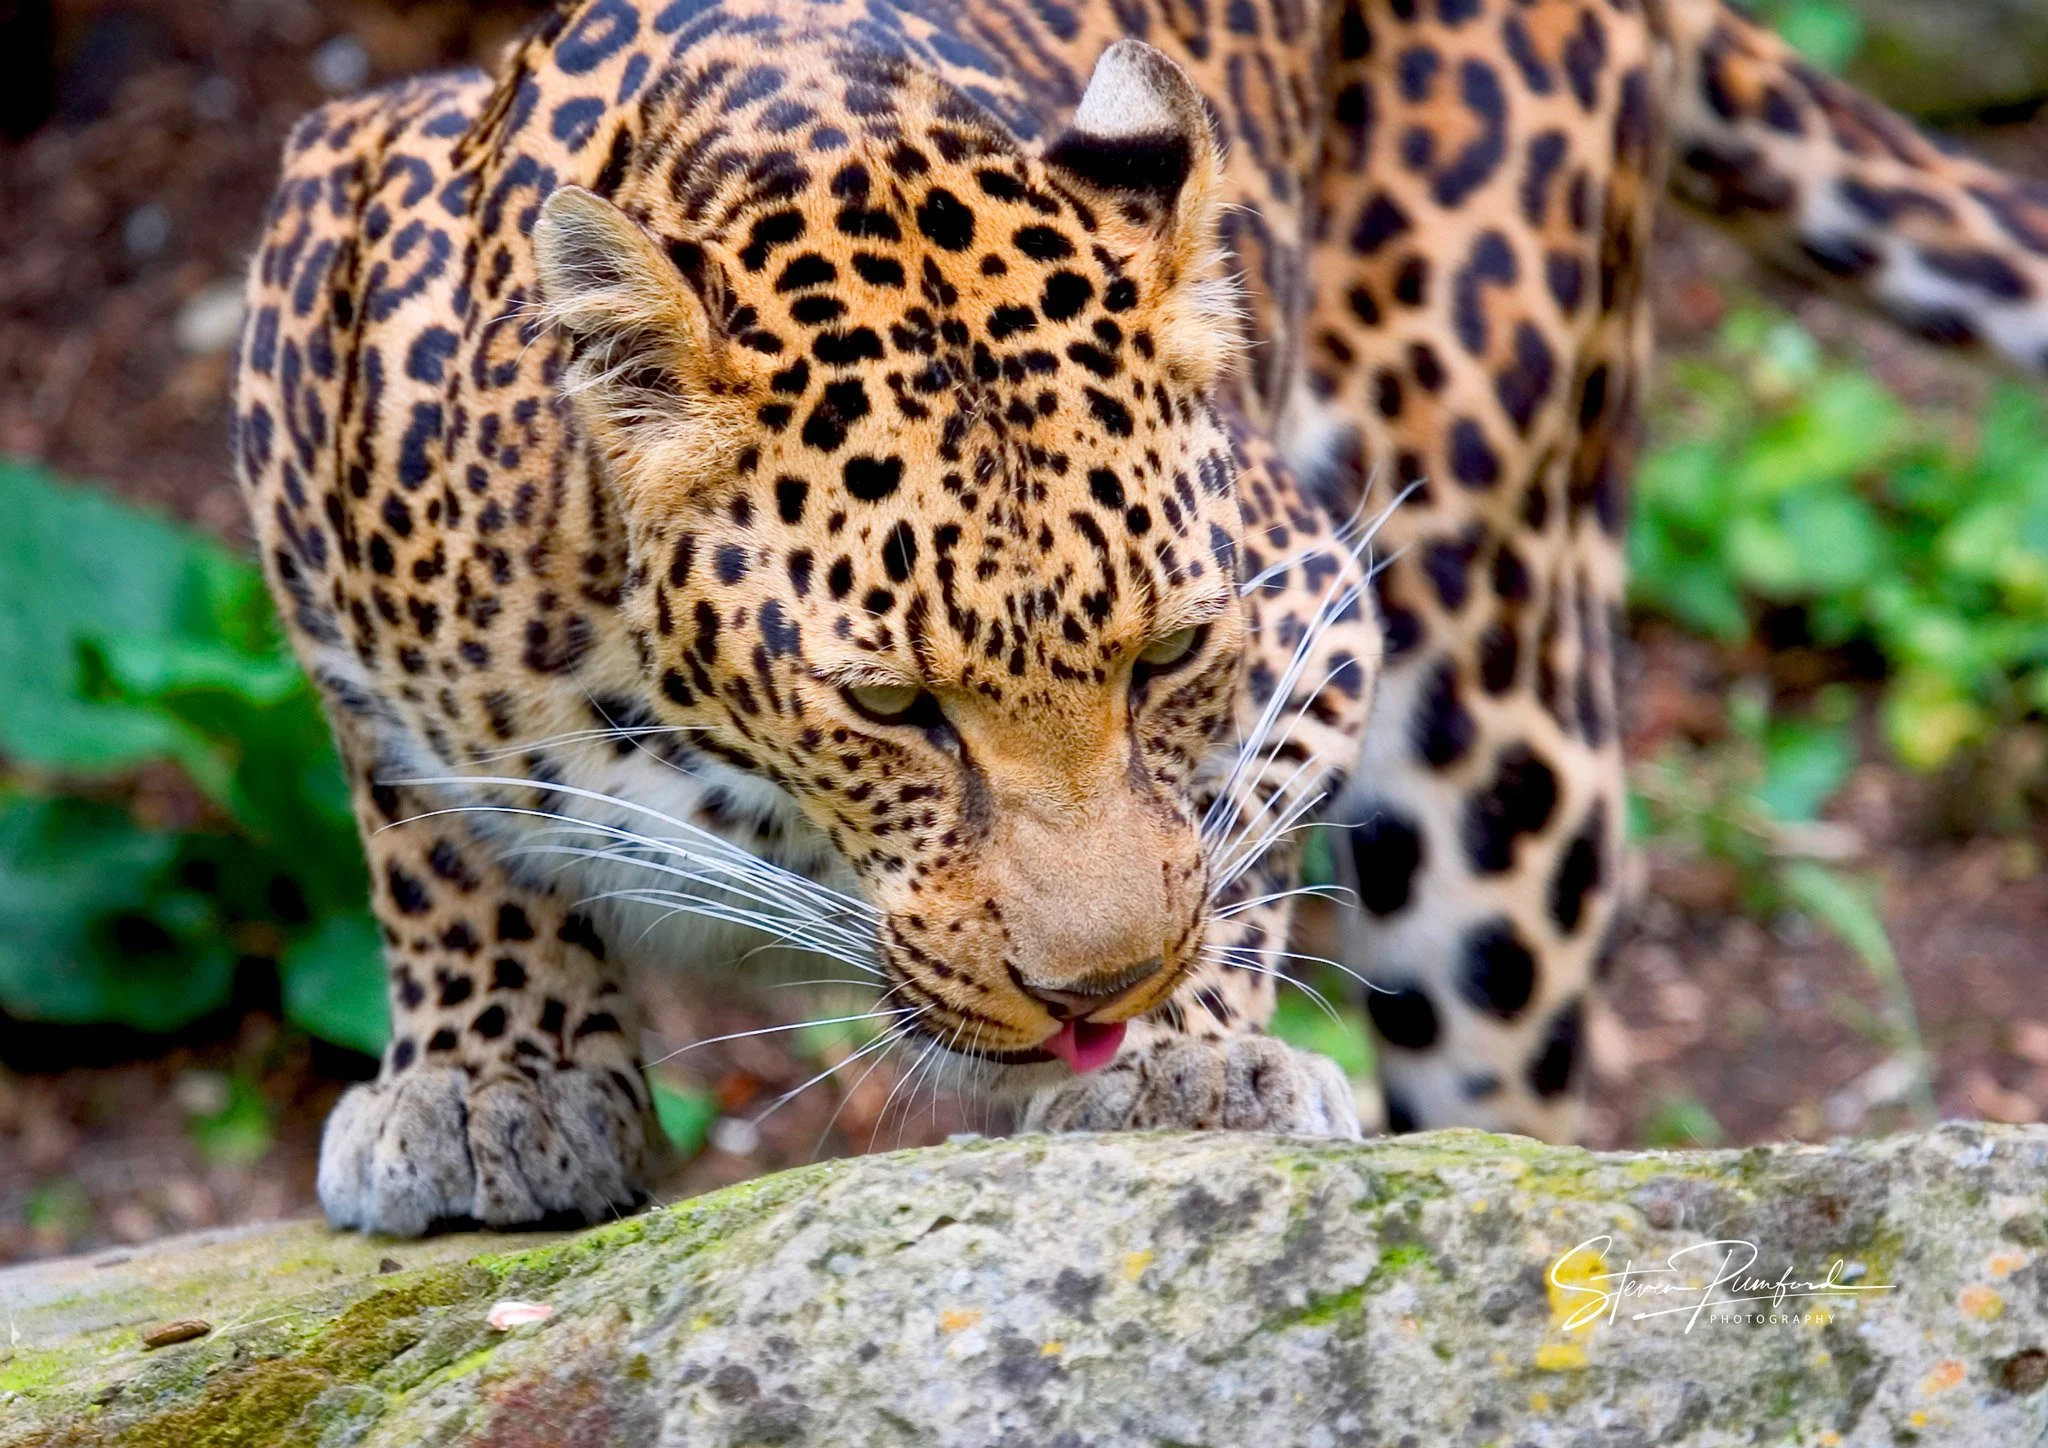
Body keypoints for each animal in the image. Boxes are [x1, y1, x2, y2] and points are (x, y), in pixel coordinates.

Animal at [231, 0, 2048, 1236]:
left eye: (1167, 656)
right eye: (890, 708)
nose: (1087, 999)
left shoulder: (1313, 596)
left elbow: (1221, 834)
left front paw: (1191, 1063)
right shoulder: (312, 319)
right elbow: (424, 822)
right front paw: (495, 1079)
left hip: (1496, 678)